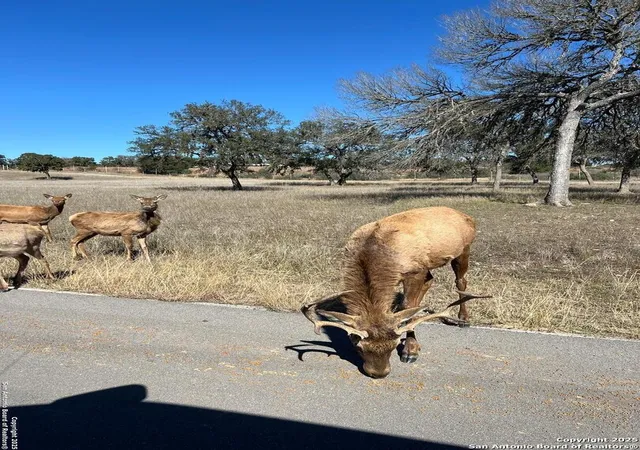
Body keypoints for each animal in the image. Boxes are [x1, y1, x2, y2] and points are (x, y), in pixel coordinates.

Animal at [302, 206, 491, 379]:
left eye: (394, 345)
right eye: (358, 346)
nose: (379, 373)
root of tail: (468, 217)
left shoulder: (414, 271)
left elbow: (408, 306)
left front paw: (410, 351)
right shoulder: (419, 268)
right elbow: (409, 307)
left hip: (464, 249)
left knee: (460, 281)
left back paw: (463, 318)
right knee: (430, 280)